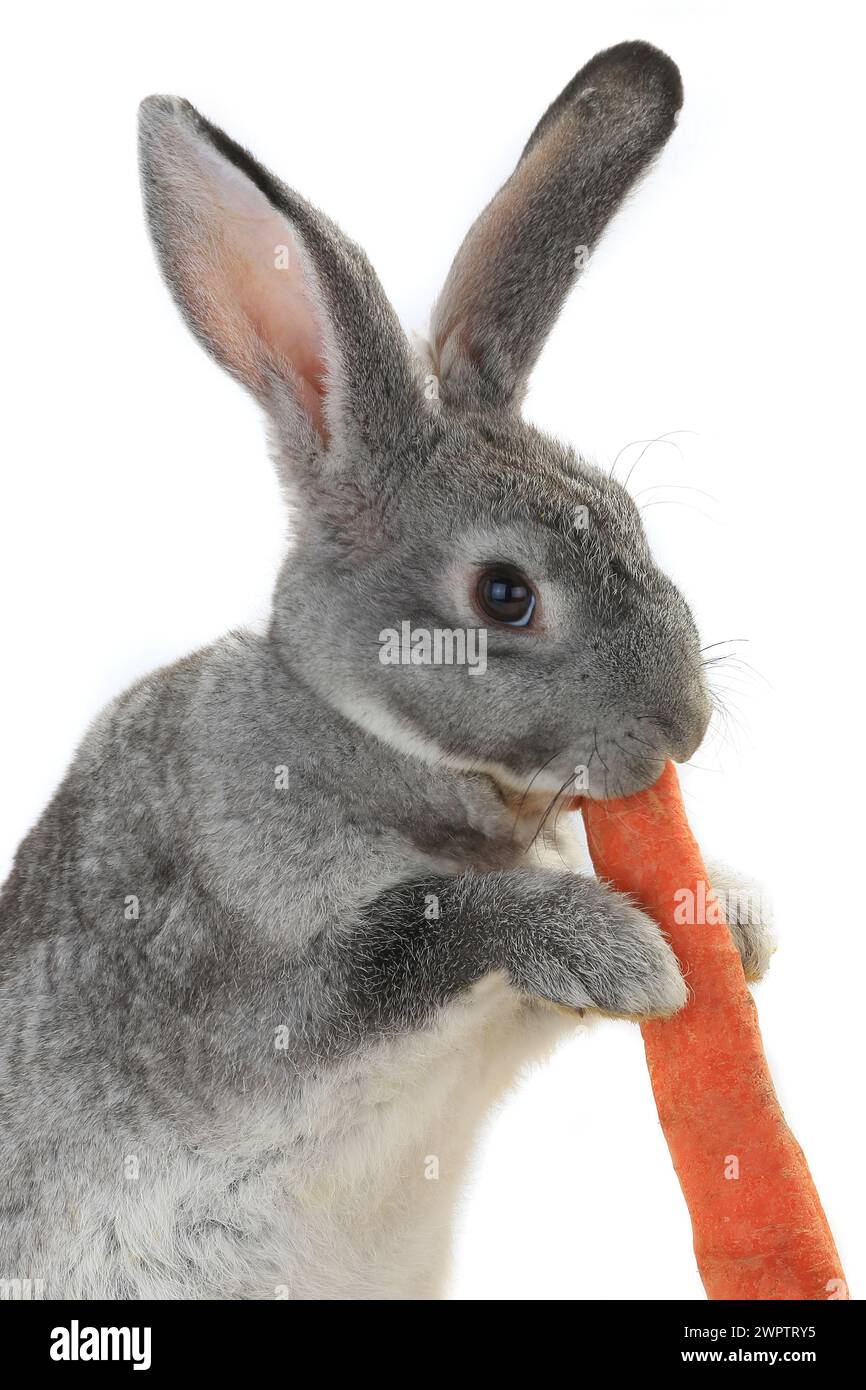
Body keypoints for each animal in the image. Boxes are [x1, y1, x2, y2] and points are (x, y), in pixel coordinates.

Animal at [0, 40, 774, 1301]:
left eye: (625, 514)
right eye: (503, 594)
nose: (685, 725)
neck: (367, 745)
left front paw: (733, 917)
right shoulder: (265, 987)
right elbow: (415, 928)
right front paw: (617, 952)